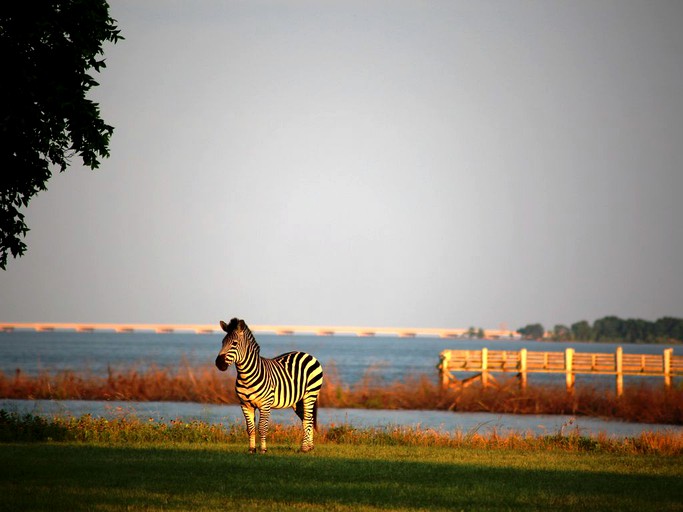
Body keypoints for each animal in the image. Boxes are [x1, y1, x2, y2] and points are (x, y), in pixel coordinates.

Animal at [215, 318, 324, 454]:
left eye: (234, 343)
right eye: (222, 342)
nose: (219, 364)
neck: (246, 375)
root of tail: (308, 354)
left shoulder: (265, 404)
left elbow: (262, 427)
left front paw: (263, 450)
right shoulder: (245, 404)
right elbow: (250, 428)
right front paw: (252, 449)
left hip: (310, 394)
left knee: (308, 419)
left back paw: (304, 448)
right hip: (298, 401)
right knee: (307, 420)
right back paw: (309, 447)